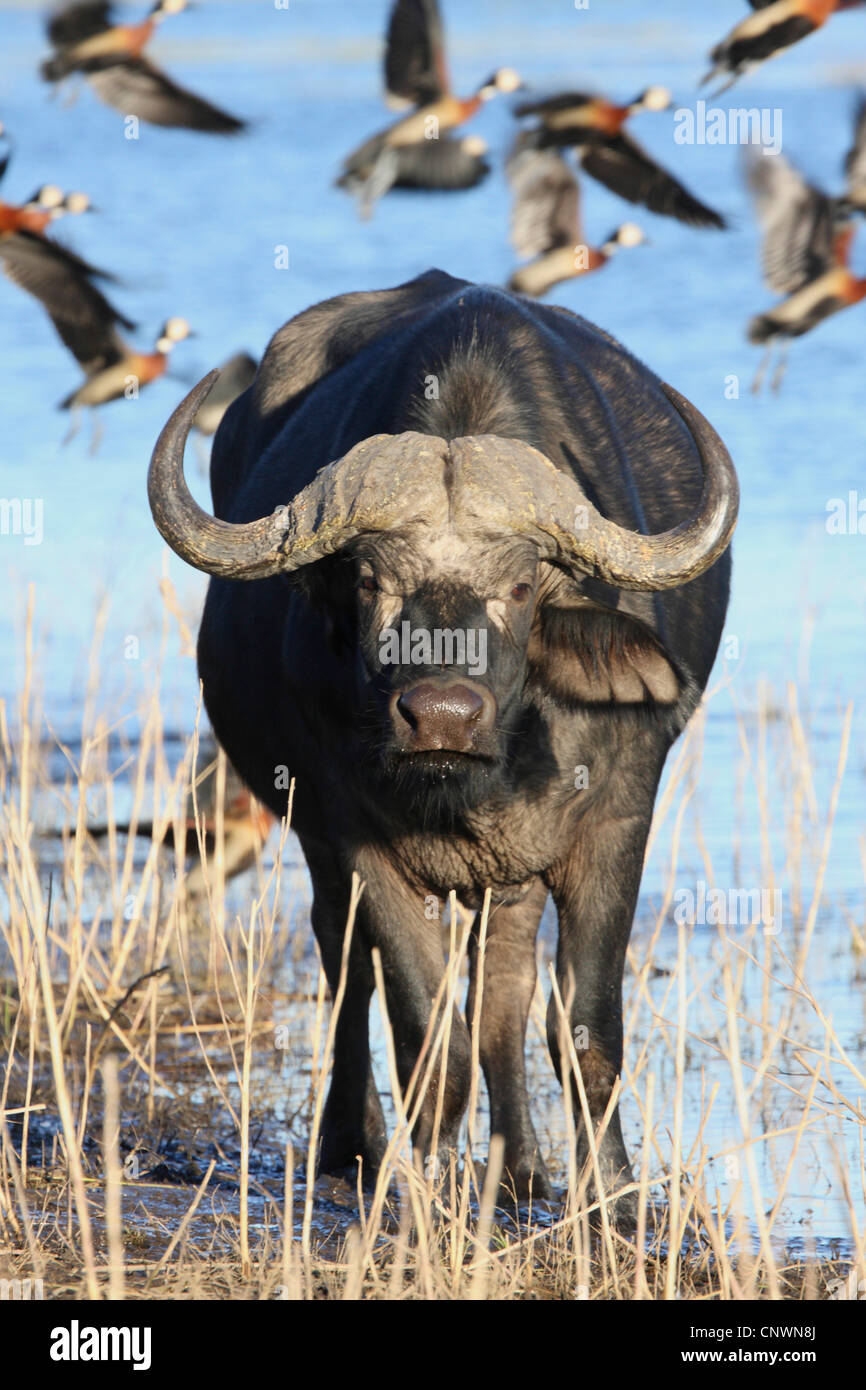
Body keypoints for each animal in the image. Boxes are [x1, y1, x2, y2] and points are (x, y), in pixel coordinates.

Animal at [148, 271, 739, 1217]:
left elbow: (584, 1029)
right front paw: (419, 1194)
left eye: (524, 585)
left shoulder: (615, 824)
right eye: (368, 580)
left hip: (513, 877)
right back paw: (352, 1147)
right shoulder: (360, 842)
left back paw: (522, 1170)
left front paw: (611, 1201)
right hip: (318, 844)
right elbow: (428, 1035)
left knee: (504, 988)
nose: (442, 717)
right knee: (346, 967)